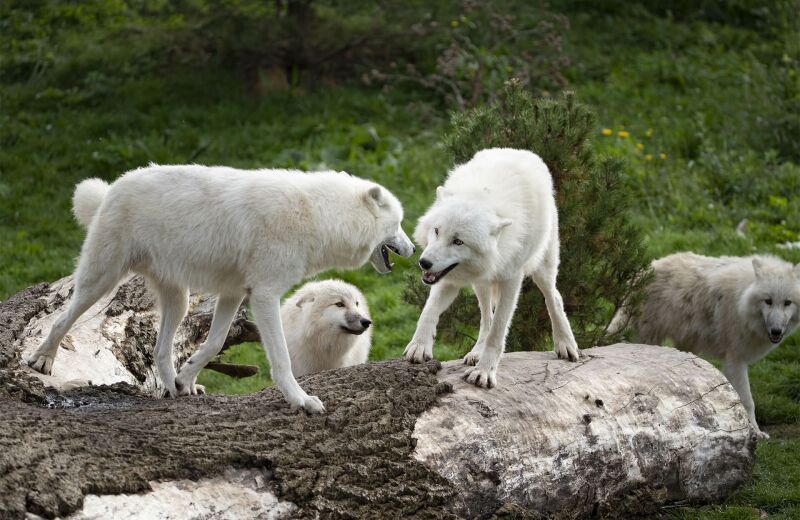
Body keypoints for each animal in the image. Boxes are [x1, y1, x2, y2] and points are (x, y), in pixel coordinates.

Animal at [26, 165, 412, 412]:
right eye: (399, 224)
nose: (412, 250)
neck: (318, 215)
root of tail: (113, 186)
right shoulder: (265, 296)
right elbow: (282, 360)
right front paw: (301, 400)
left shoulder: (235, 294)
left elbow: (212, 344)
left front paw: (187, 379)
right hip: (102, 279)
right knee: (63, 318)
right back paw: (42, 360)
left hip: (178, 300)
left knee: (160, 350)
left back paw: (174, 387)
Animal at [404, 146, 580, 386]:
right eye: (437, 231)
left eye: (458, 241)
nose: (424, 262)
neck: (481, 196)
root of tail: (520, 150)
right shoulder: (447, 278)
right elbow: (428, 311)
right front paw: (419, 346)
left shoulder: (512, 280)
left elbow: (498, 330)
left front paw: (484, 372)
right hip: (481, 282)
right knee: (486, 316)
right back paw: (476, 352)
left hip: (542, 269)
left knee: (554, 297)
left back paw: (565, 343)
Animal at [608, 250, 800, 436]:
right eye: (768, 301)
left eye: (787, 302)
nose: (776, 331)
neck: (742, 300)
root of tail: (642, 272)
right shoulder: (735, 359)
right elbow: (747, 401)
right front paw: (756, 432)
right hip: (648, 339)